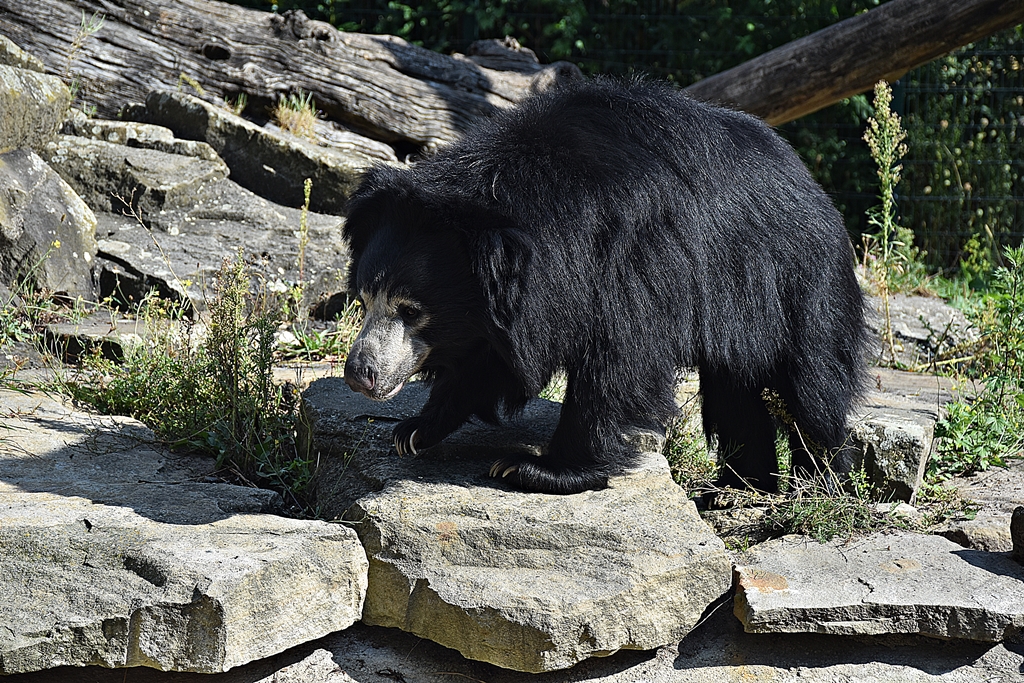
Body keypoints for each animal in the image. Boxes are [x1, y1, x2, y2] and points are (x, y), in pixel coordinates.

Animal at [342, 77, 868, 495]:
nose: (359, 375)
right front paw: (414, 429)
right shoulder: (503, 304)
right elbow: (483, 360)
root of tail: (809, 182)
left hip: (798, 282)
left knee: (812, 387)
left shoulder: (630, 261)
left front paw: (536, 469)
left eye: (411, 310)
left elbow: (619, 361)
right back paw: (737, 489)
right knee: (733, 391)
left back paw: (822, 485)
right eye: (365, 300)